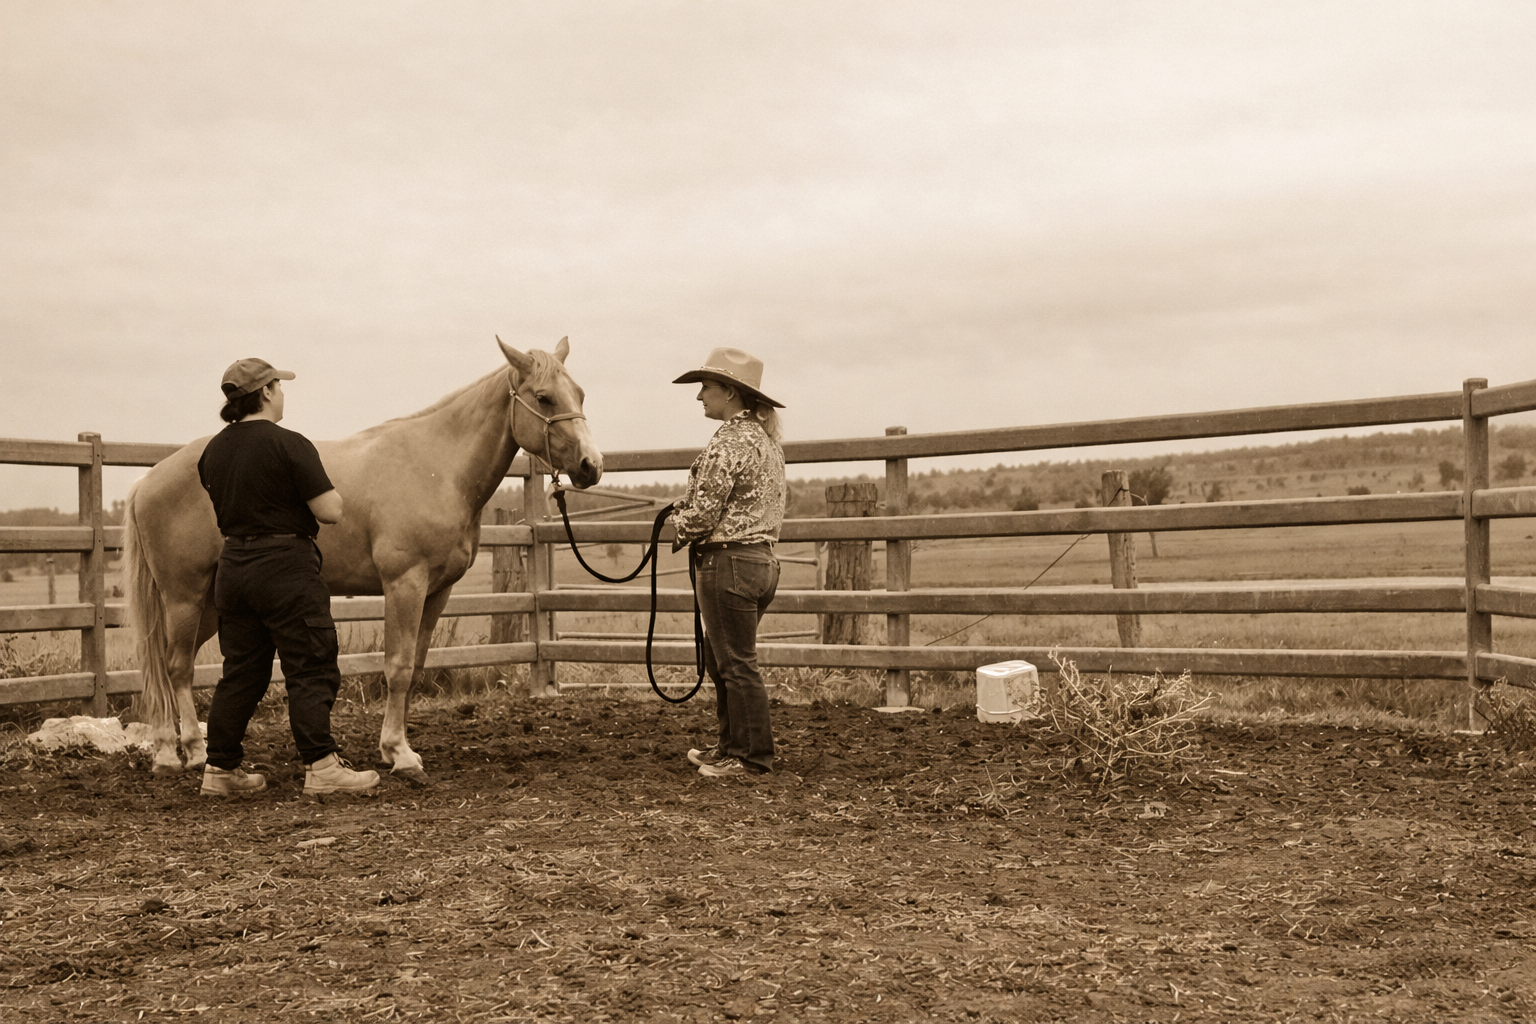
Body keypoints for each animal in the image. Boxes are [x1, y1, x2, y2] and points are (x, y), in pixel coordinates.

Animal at [123, 337, 601, 785]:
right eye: (544, 397)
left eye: (580, 393)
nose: (591, 465)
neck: (436, 468)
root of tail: (148, 480)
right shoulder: (404, 584)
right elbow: (398, 667)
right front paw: (401, 754)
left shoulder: (437, 592)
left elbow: (416, 666)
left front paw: (394, 748)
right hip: (183, 597)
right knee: (176, 667)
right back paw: (182, 753)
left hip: (209, 604)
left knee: (169, 665)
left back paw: (177, 751)